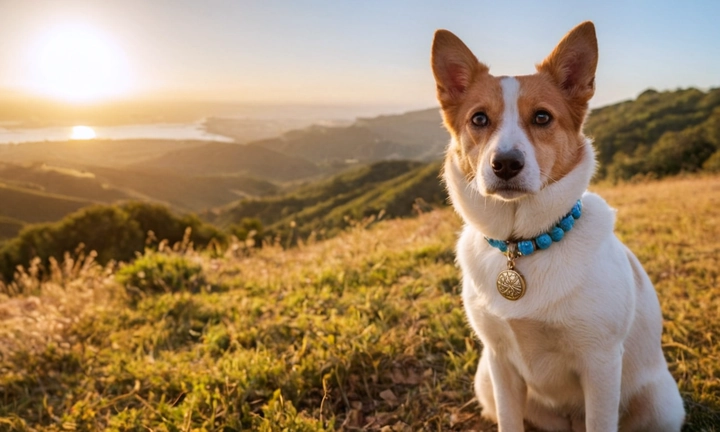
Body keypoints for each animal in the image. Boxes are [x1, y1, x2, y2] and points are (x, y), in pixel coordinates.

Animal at [434, 21, 688, 432]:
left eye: (542, 118)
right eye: (479, 119)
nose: (506, 164)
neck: (522, 245)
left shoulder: (600, 364)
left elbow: (601, 421)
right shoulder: (499, 361)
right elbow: (509, 420)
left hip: (661, 404)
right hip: (484, 380)